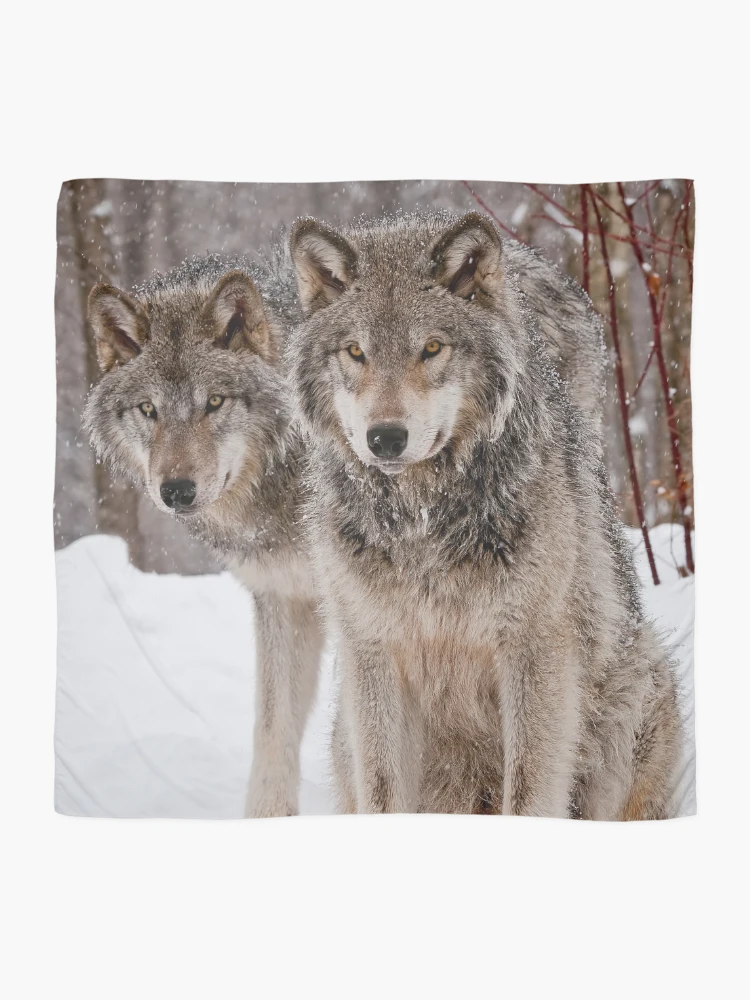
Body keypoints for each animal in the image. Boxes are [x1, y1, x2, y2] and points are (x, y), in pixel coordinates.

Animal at [287, 210, 682, 819]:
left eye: (431, 348)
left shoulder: (534, 651)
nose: (385, 437)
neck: (423, 519)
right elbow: (382, 791)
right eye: (355, 352)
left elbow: (529, 790)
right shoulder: (373, 653)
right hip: (346, 731)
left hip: (634, 688)